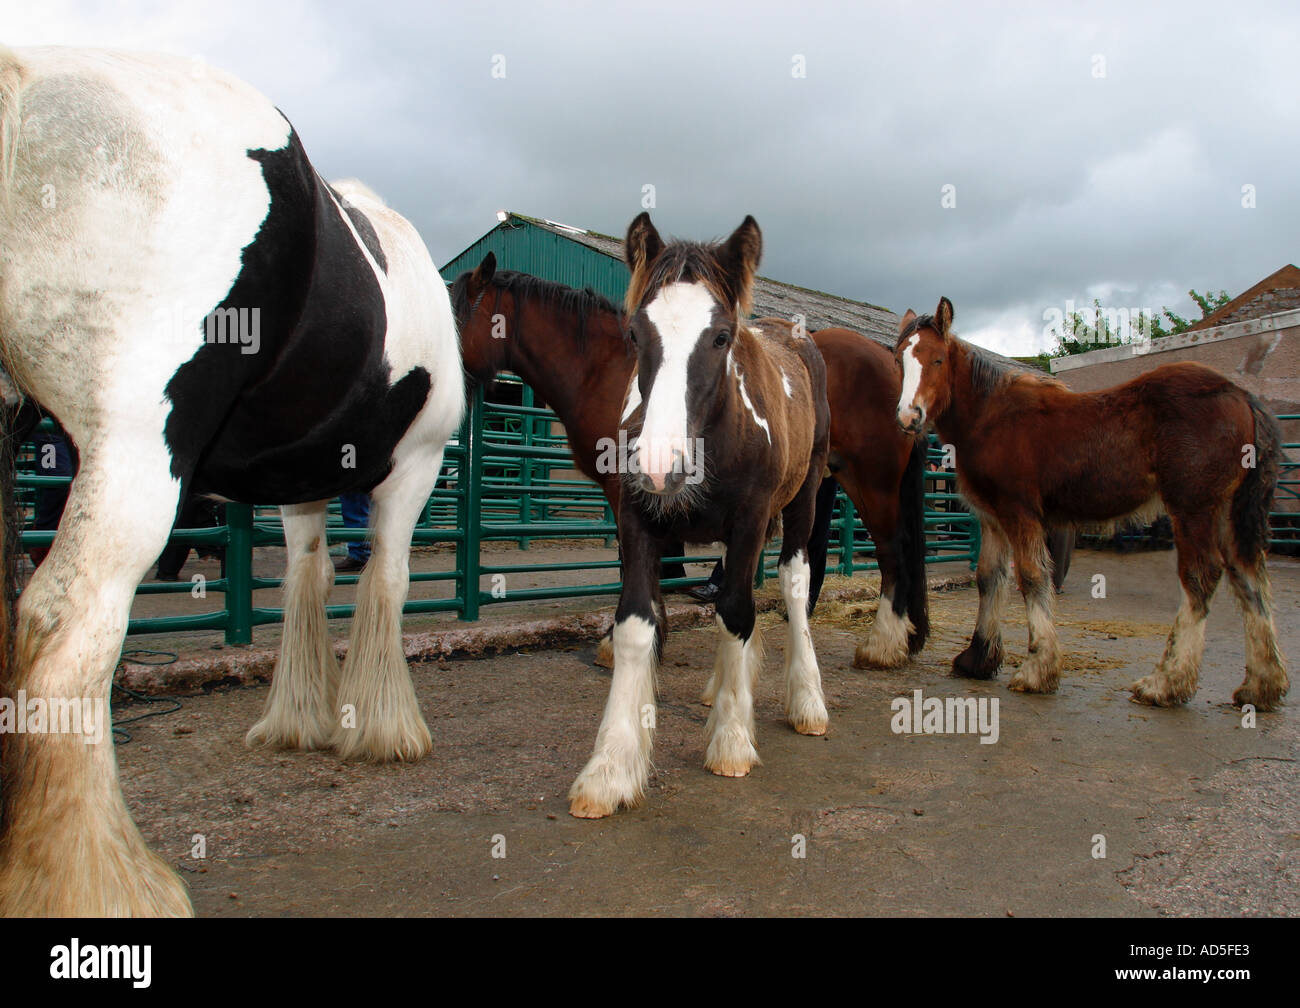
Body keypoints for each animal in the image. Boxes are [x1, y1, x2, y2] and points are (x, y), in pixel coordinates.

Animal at [0, 47, 464, 916]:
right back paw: (100, 886)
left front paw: (305, 719)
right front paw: (383, 729)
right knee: (65, 625)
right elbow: (384, 582)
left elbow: (308, 584)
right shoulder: (413, 471)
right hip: (135, 453)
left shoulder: (303, 486)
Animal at [453, 256, 930, 670]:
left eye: (452, 318)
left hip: (872, 481)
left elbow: (632, 564)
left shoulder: (627, 490)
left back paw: (882, 643)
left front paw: (627, 642)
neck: (603, 369)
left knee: (892, 549)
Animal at [564, 212, 830, 818]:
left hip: (804, 493)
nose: (661, 466)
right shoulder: (638, 519)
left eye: (721, 336)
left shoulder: (753, 517)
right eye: (635, 333)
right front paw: (610, 767)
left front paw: (731, 741)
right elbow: (636, 625)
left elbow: (735, 612)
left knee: (794, 581)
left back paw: (807, 699)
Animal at [895, 297, 1288, 710]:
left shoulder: (1020, 513)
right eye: (898, 359)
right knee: (1248, 578)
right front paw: (978, 659)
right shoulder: (993, 517)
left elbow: (1032, 577)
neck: (990, 416)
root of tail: (1239, 394)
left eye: (938, 360)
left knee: (1201, 577)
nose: (909, 417)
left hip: (1193, 508)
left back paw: (1166, 682)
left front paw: (1038, 669)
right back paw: (1261, 685)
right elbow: (989, 578)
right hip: (1228, 512)